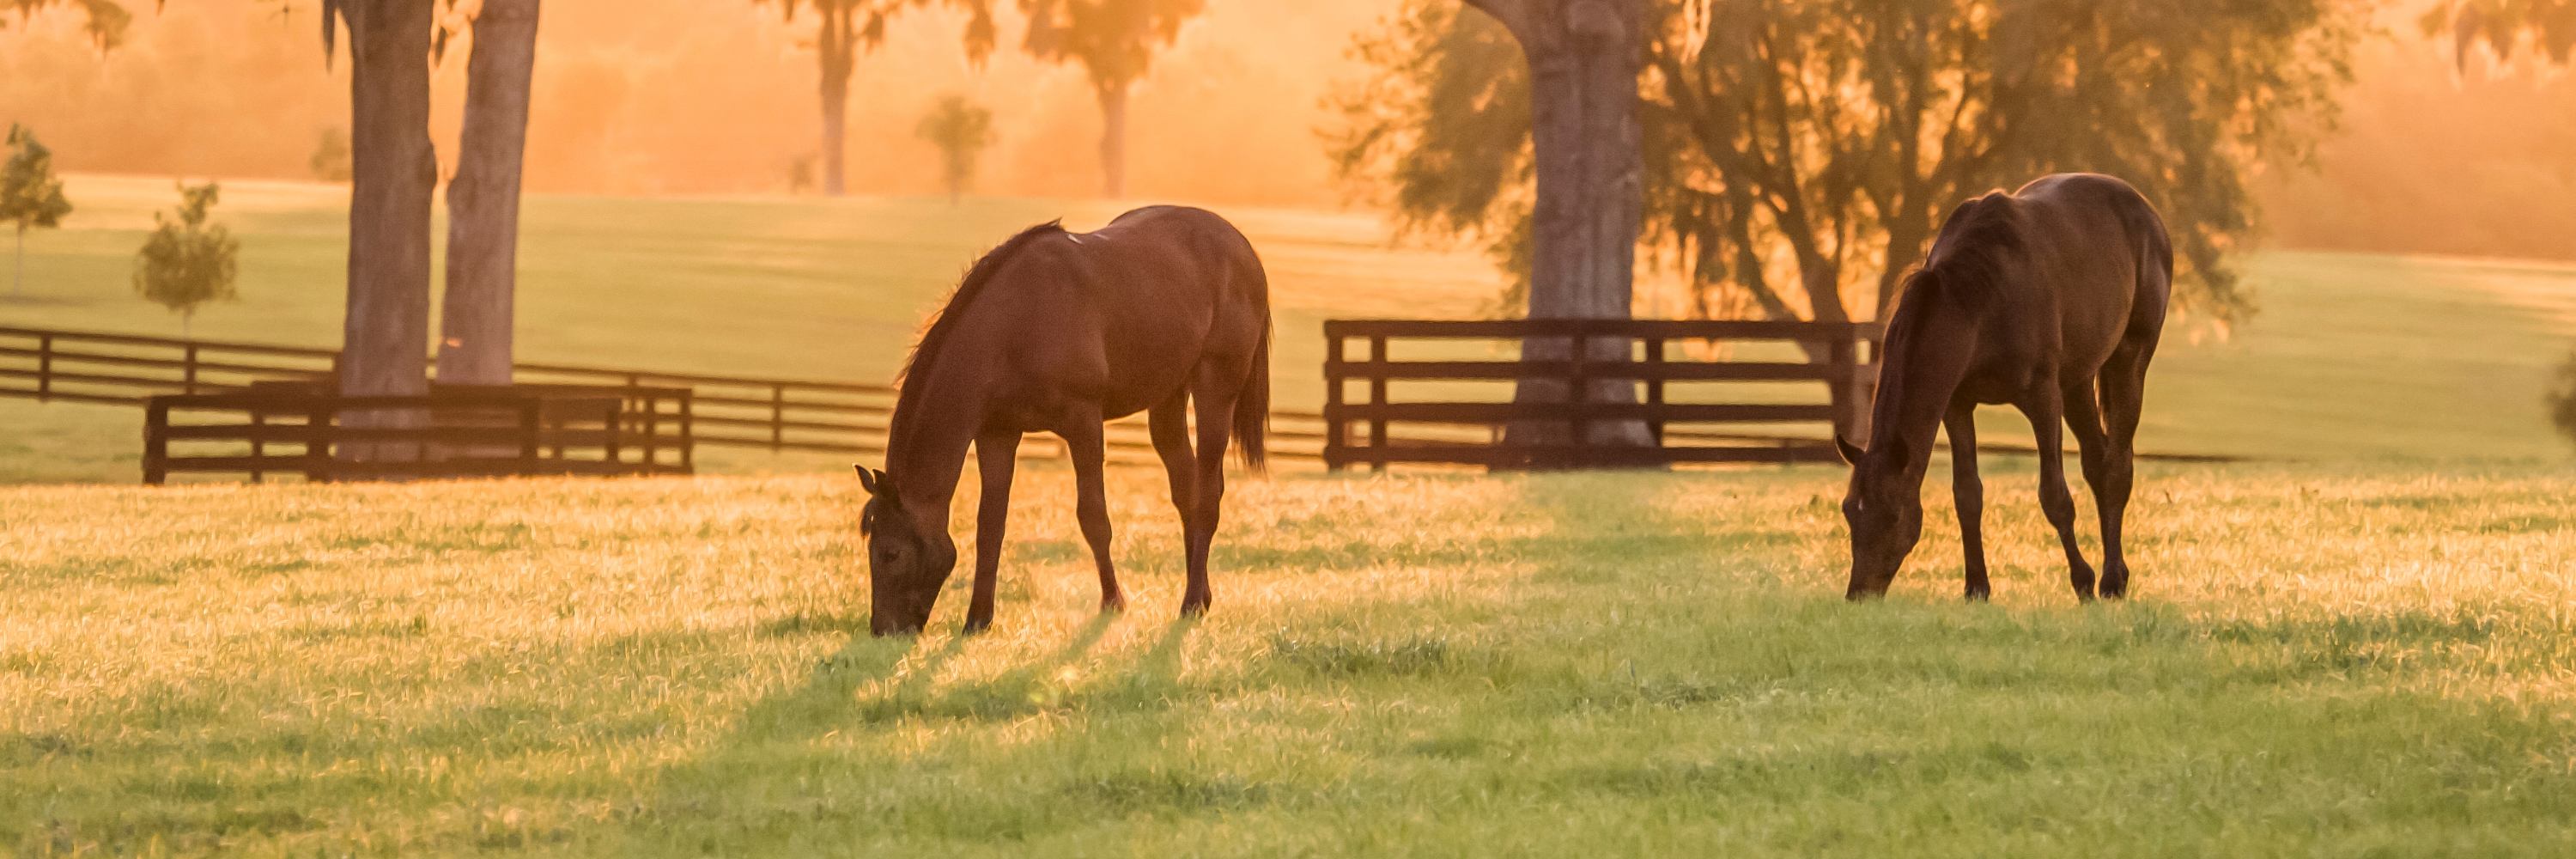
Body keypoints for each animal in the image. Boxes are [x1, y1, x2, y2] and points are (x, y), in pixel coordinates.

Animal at [855, 205, 1271, 636]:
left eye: (890, 553)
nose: (883, 630)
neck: (1014, 324)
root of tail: (1241, 246)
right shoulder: (997, 434)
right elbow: (990, 526)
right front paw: (978, 619)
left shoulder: (1083, 423)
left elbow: (1093, 517)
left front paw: (1113, 602)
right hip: (1168, 398)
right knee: (1186, 490)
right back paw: (1200, 596)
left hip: (1215, 388)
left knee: (1207, 493)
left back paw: (1190, 603)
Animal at [1836, 173, 2172, 602]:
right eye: (1849, 509)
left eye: (1893, 514)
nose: (1859, 594)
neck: (1978, 300)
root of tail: (2147, 212)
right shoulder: (1957, 406)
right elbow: (1967, 496)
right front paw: (1976, 587)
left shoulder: (2043, 399)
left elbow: (2054, 496)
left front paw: (2082, 581)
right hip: (2078, 382)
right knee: (2098, 464)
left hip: (2129, 360)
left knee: (2116, 468)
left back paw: (2111, 580)